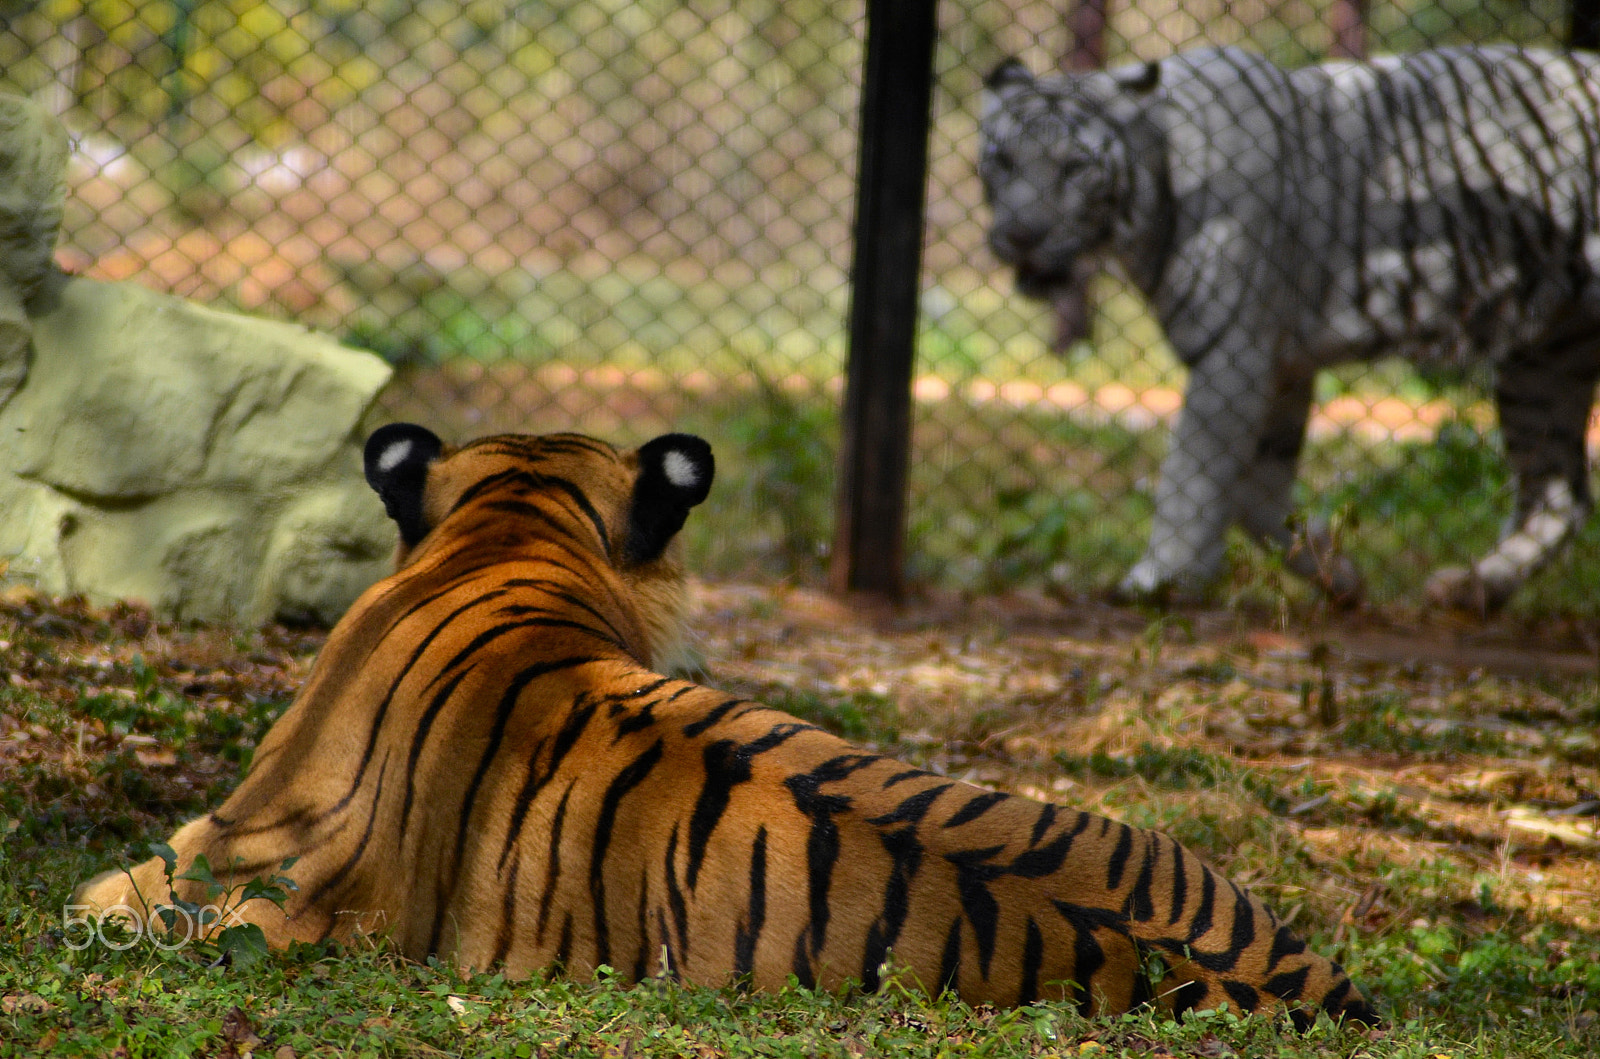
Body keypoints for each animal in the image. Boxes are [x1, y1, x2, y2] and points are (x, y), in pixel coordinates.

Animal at [972, 47, 1600, 614]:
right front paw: (1339, 575)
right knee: (1559, 498)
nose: (1021, 235)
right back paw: (1473, 589)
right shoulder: (1283, 365)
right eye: (1002, 161)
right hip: (1546, 362)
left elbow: (1192, 474)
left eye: (1074, 167)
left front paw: (1162, 580)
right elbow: (1256, 492)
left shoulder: (1234, 349)